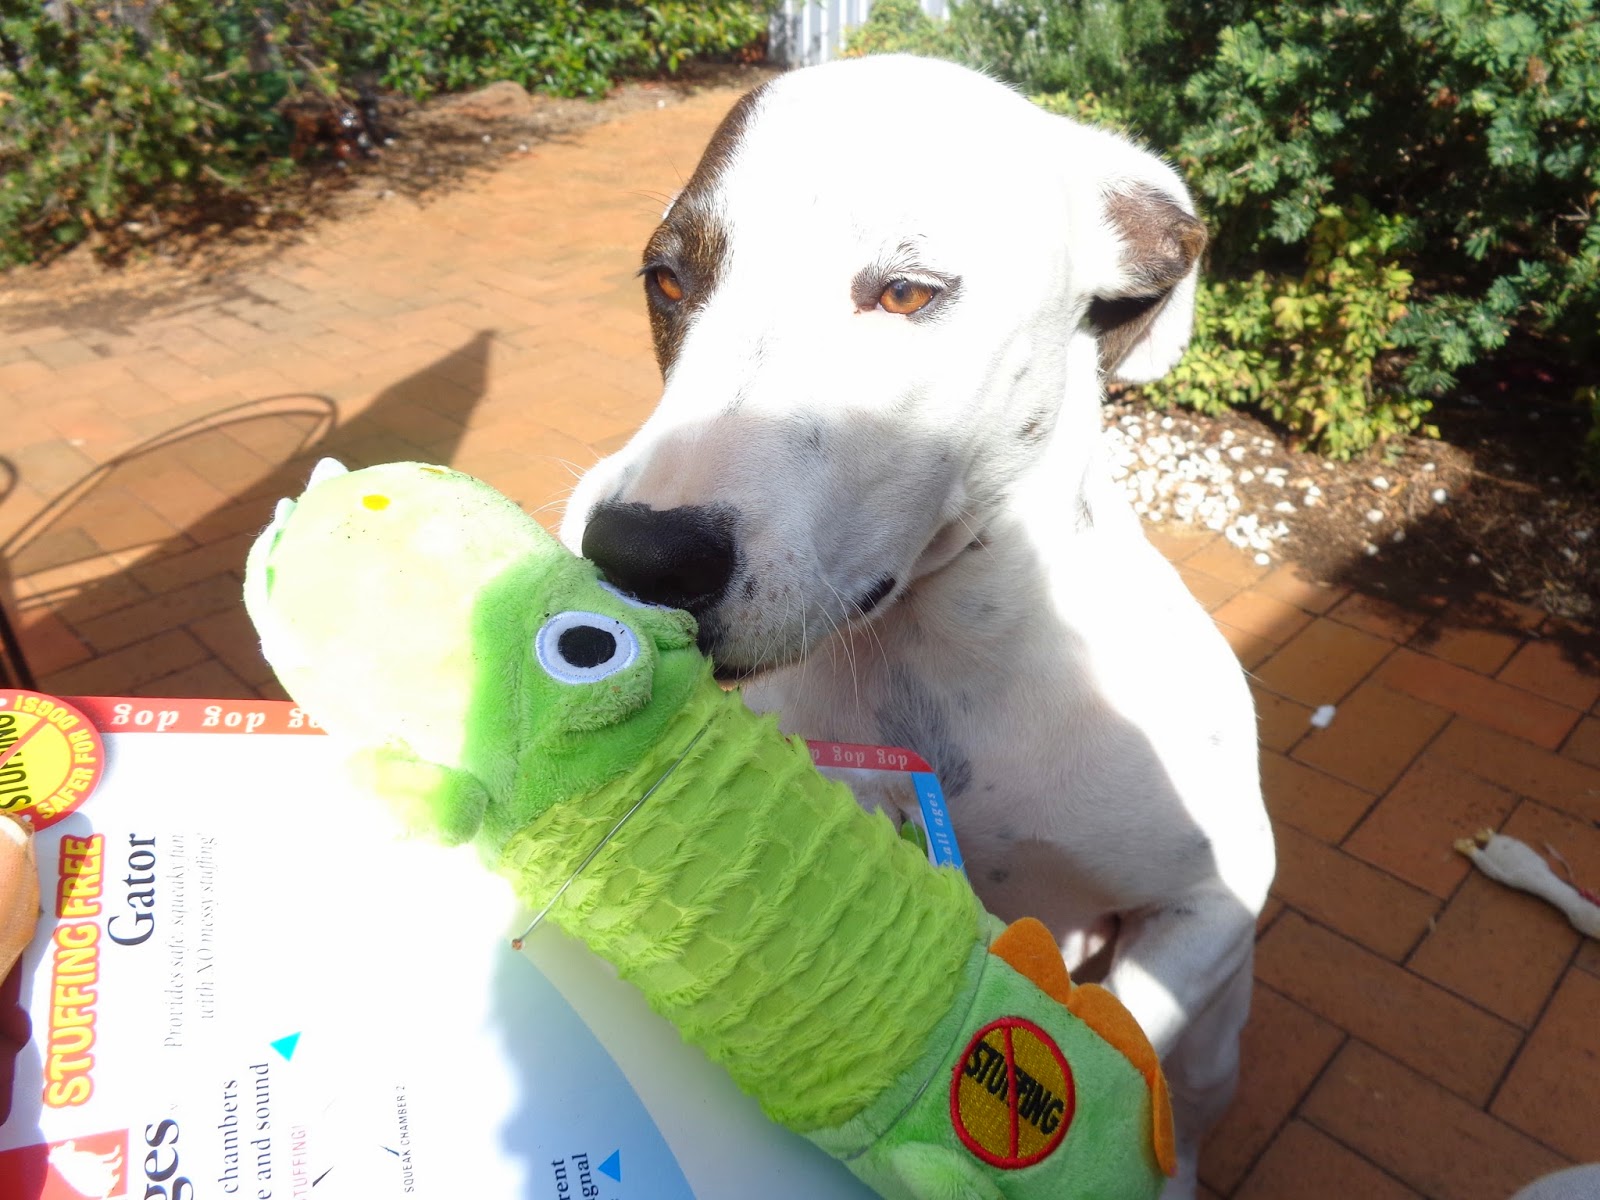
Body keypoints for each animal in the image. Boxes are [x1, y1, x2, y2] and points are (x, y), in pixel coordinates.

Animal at [559, 55, 1274, 1196]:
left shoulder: (1216, 897)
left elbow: (1128, 1041)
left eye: (906, 292)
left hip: (1222, 1041)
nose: (638, 555)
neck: (933, 660)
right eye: (666, 281)